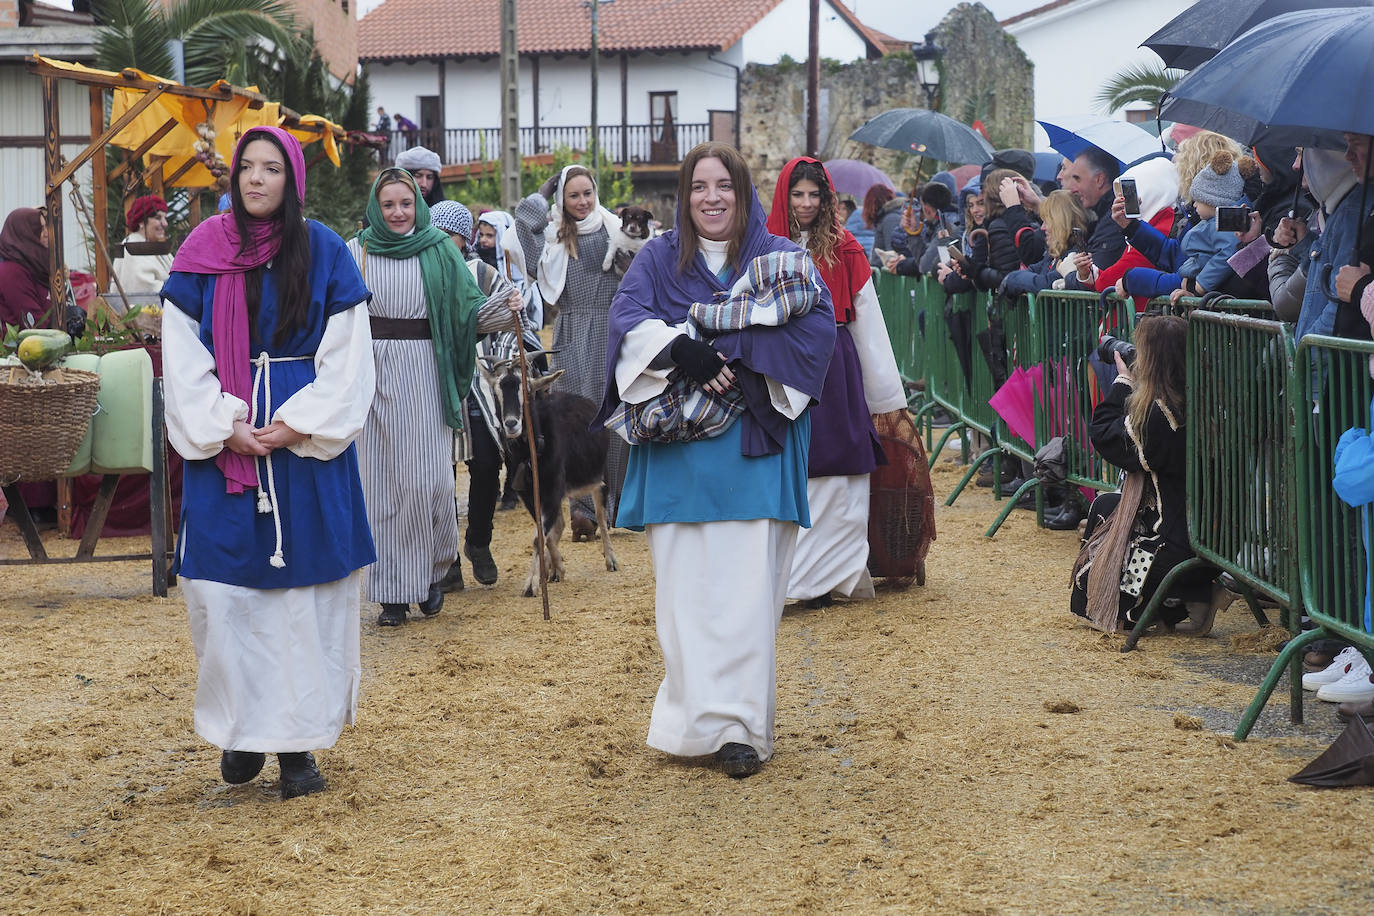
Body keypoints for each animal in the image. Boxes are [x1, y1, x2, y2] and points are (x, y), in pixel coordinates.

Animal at [478, 362, 618, 598]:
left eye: (527, 392)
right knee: (559, 524)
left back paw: (611, 560)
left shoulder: (552, 490)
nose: (512, 424)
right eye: (496, 393)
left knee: (600, 515)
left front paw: (530, 586)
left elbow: (540, 537)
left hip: (600, 475)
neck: (531, 453)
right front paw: (555, 569)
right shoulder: (531, 496)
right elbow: (546, 535)